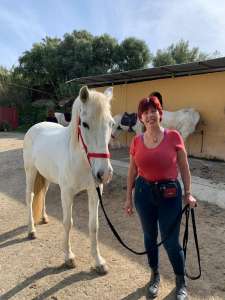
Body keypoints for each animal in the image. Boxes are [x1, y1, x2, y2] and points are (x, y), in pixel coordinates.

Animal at [23, 85, 114, 274]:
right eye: (84, 124)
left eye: (111, 124)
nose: (104, 174)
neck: (82, 160)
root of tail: (36, 126)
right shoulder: (67, 193)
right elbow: (67, 223)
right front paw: (68, 257)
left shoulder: (94, 192)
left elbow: (94, 226)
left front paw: (98, 262)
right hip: (31, 172)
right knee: (30, 197)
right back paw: (31, 230)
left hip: (47, 176)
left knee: (43, 194)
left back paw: (44, 218)